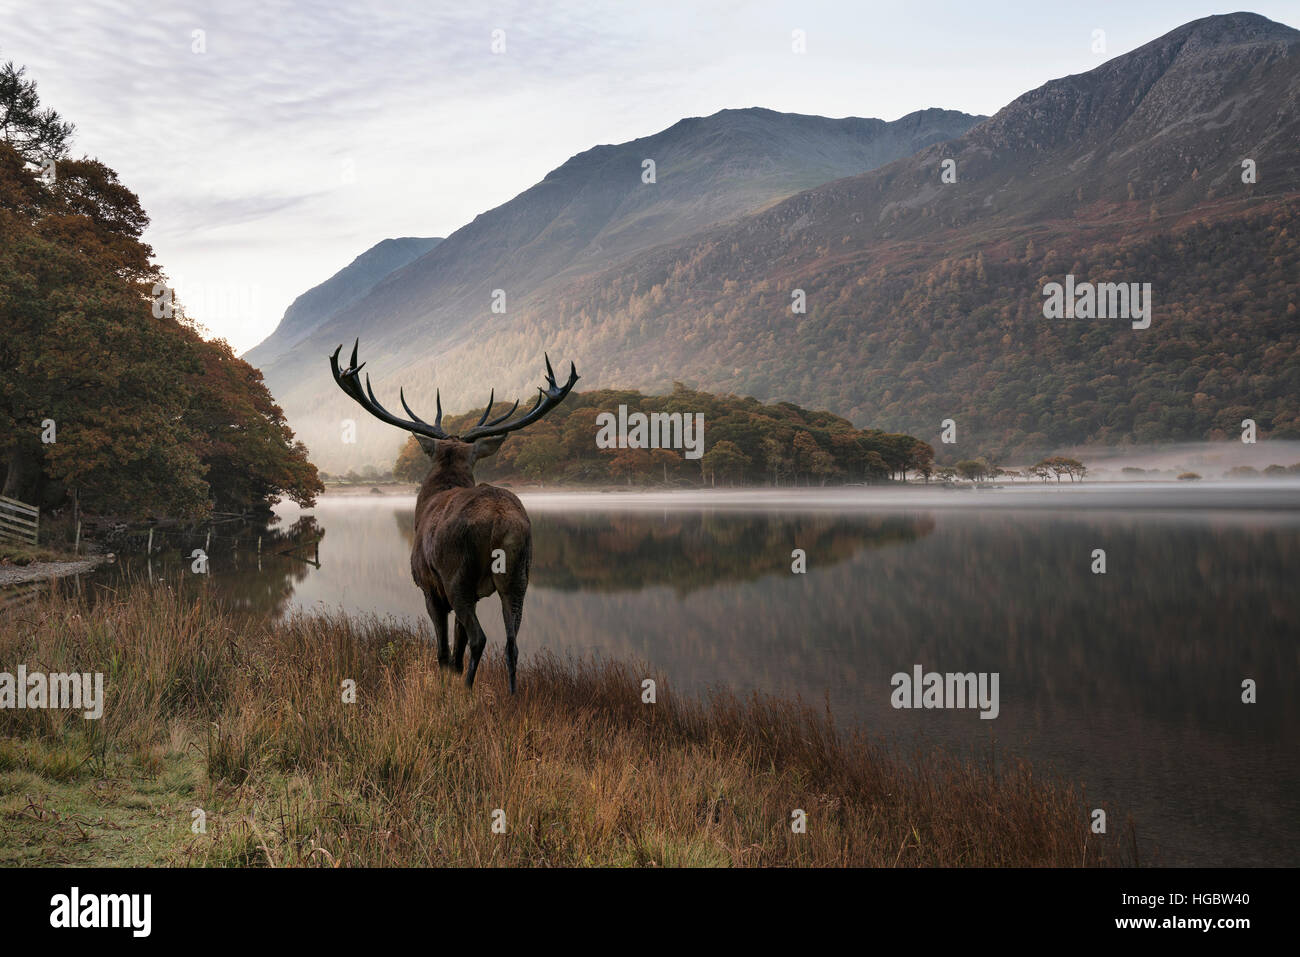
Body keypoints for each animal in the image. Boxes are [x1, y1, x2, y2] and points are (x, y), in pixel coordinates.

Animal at [329, 340, 578, 693]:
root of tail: (500, 521)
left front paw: (446, 682)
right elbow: (457, 649)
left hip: (457, 575)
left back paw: (469, 690)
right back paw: (511, 694)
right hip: (519, 576)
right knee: (511, 643)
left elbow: (445, 651)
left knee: (480, 638)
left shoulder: (429, 586)